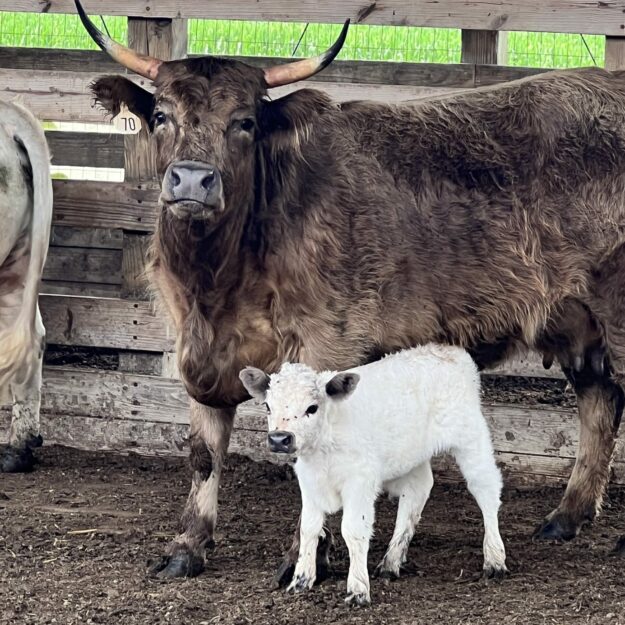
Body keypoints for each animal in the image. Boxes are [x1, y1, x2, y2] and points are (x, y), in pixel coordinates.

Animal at [239, 344, 508, 608]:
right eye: (268, 406)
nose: (279, 439)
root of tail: (450, 351)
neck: (324, 448)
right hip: (413, 455)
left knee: (486, 489)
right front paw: (301, 581)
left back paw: (494, 559)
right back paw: (391, 562)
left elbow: (353, 530)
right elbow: (309, 528)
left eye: (312, 408)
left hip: (471, 439)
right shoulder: (309, 481)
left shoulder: (360, 482)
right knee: (417, 492)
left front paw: (358, 590)